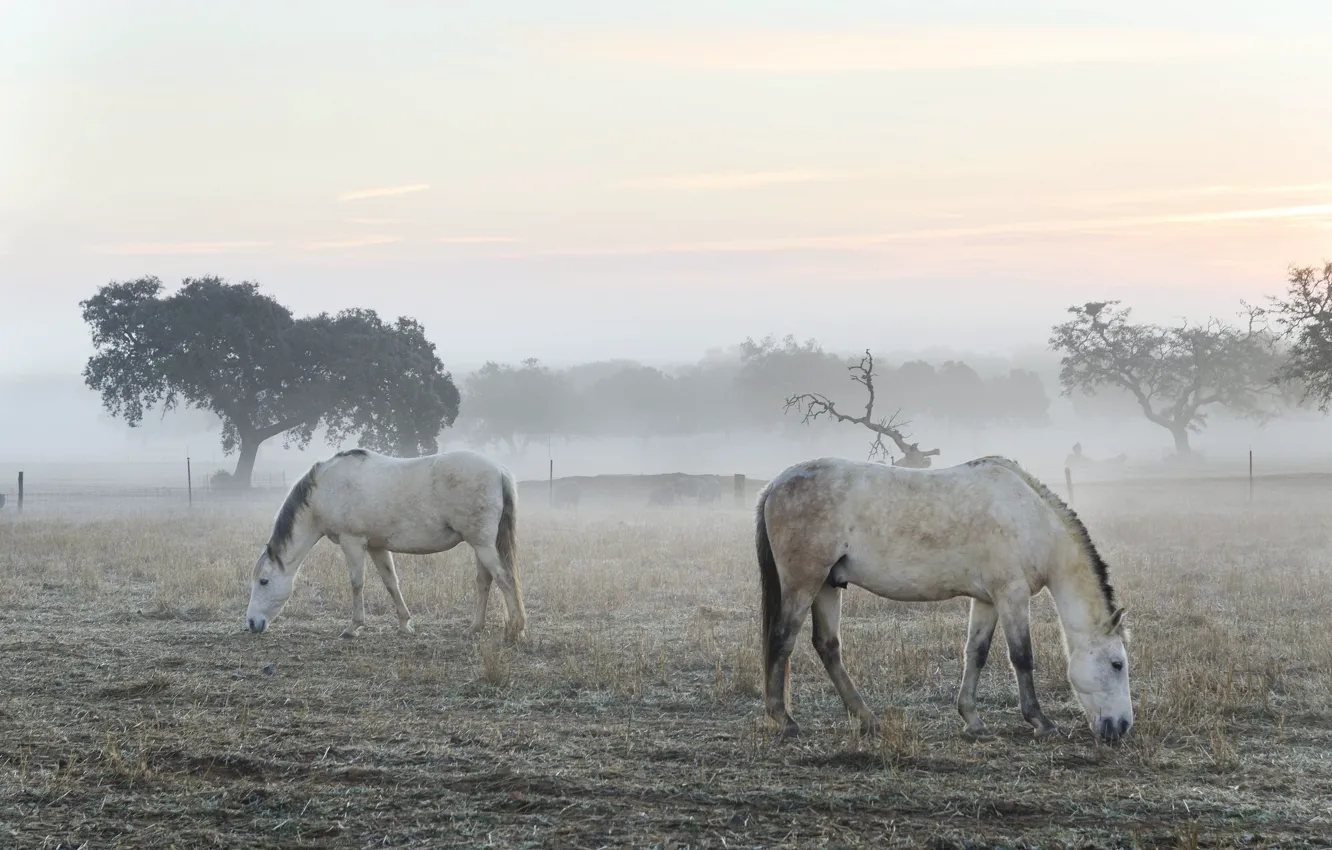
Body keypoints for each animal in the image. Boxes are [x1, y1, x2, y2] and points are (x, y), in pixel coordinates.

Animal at [245, 448, 527, 643]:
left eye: (264, 581)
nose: (251, 623)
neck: (326, 488)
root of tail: (499, 470)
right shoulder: (376, 546)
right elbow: (391, 582)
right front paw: (405, 624)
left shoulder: (352, 542)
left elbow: (357, 583)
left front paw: (353, 627)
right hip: (481, 546)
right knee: (485, 582)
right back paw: (475, 627)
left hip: (483, 546)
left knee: (505, 579)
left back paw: (516, 630)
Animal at [756, 455, 1132, 743]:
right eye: (1117, 664)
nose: (1123, 726)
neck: (1032, 520)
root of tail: (774, 484)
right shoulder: (1011, 594)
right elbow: (1022, 657)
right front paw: (1041, 722)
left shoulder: (988, 600)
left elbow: (976, 653)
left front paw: (973, 720)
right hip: (803, 583)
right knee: (782, 639)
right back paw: (784, 720)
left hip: (827, 585)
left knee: (828, 646)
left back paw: (868, 719)